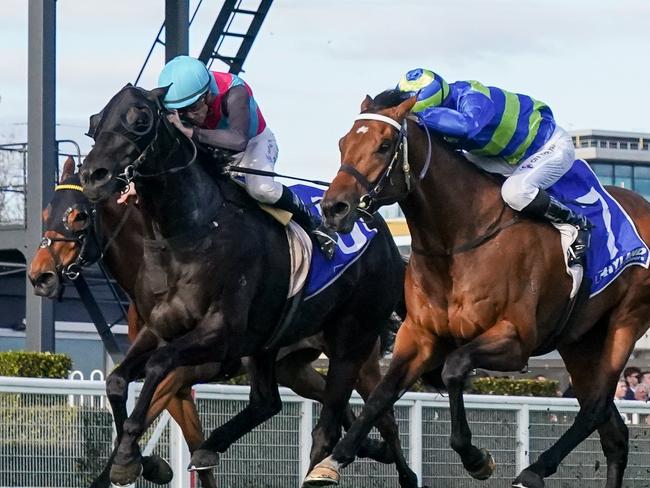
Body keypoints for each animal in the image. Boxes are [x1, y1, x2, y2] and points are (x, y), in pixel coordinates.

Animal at [27, 159, 408, 484]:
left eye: (79, 216)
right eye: (45, 211)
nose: (39, 275)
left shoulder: (184, 369)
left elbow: (144, 413)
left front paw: (136, 463)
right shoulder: (174, 376)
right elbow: (123, 390)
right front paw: (150, 463)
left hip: (358, 352)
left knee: (385, 417)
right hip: (292, 365)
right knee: (309, 401)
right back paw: (368, 449)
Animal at [77, 85, 420, 488]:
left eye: (141, 119)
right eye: (95, 122)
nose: (93, 175)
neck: (188, 233)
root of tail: (381, 233)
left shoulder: (220, 333)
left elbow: (159, 366)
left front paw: (132, 456)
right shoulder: (158, 329)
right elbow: (116, 382)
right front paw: (137, 460)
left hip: (353, 343)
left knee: (353, 422)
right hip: (273, 347)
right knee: (267, 401)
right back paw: (212, 446)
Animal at [306, 88, 648, 488]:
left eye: (384, 145)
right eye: (343, 143)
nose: (334, 208)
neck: (458, 240)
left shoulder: (516, 340)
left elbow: (455, 368)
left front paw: (475, 457)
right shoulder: (419, 336)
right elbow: (381, 395)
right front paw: (331, 461)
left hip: (627, 320)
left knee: (594, 407)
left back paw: (533, 470)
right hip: (580, 341)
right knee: (613, 433)